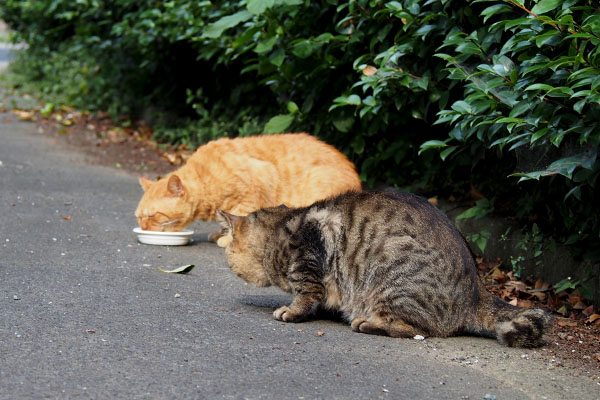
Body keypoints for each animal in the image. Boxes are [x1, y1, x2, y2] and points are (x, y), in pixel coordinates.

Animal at [136, 134, 360, 245]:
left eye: (153, 215)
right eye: (139, 218)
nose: (144, 227)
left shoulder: (257, 182)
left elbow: (238, 218)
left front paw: (228, 239)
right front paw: (221, 233)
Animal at [217, 191, 552, 346]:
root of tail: (478, 291)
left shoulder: (307, 260)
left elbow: (305, 294)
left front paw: (292, 311)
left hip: (391, 271)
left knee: (417, 329)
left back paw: (368, 323)